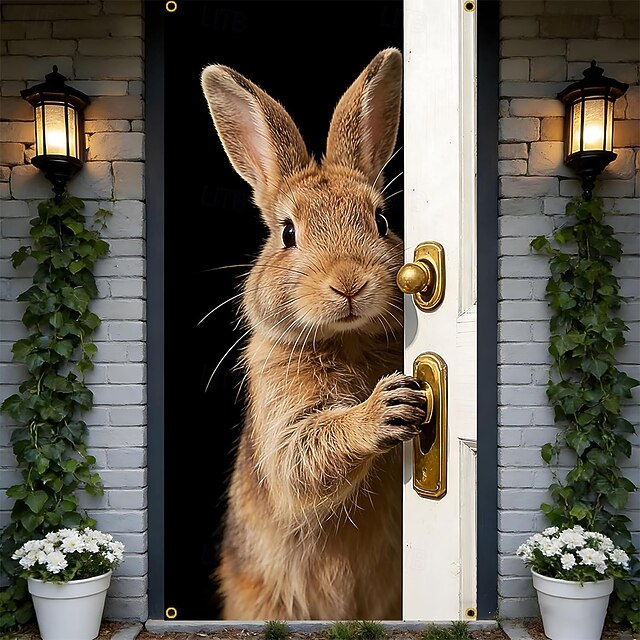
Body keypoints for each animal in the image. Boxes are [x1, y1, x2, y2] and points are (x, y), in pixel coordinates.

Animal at [200, 48, 428, 620]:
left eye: (382, 221)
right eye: (287, 233)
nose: (349, 282)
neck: (347, 339)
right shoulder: (282, 415)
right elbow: (301, 456)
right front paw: (386, 409)